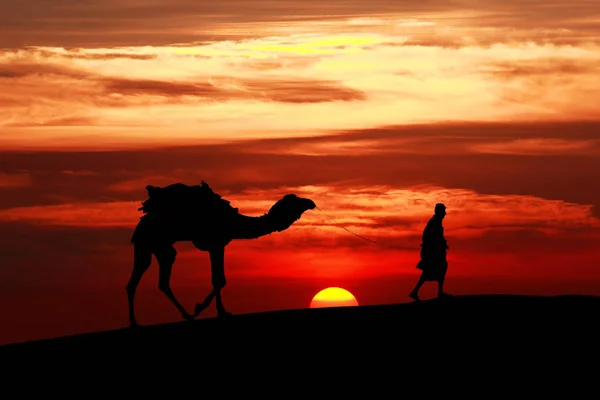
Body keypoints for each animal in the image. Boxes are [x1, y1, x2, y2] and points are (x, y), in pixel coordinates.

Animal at [125, 183, 316, 326]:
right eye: (295, 201)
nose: (311, 202)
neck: (235, 221)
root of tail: (140, 225)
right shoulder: (216, 243)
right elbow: (219, 280)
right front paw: (215, 311)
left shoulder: (218, 245)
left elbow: (219, 279)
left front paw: (213, 310)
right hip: (155, 242)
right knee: (156, 277)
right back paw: (184, 315)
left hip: (151, 246)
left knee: (145, 278)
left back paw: (139, 322)